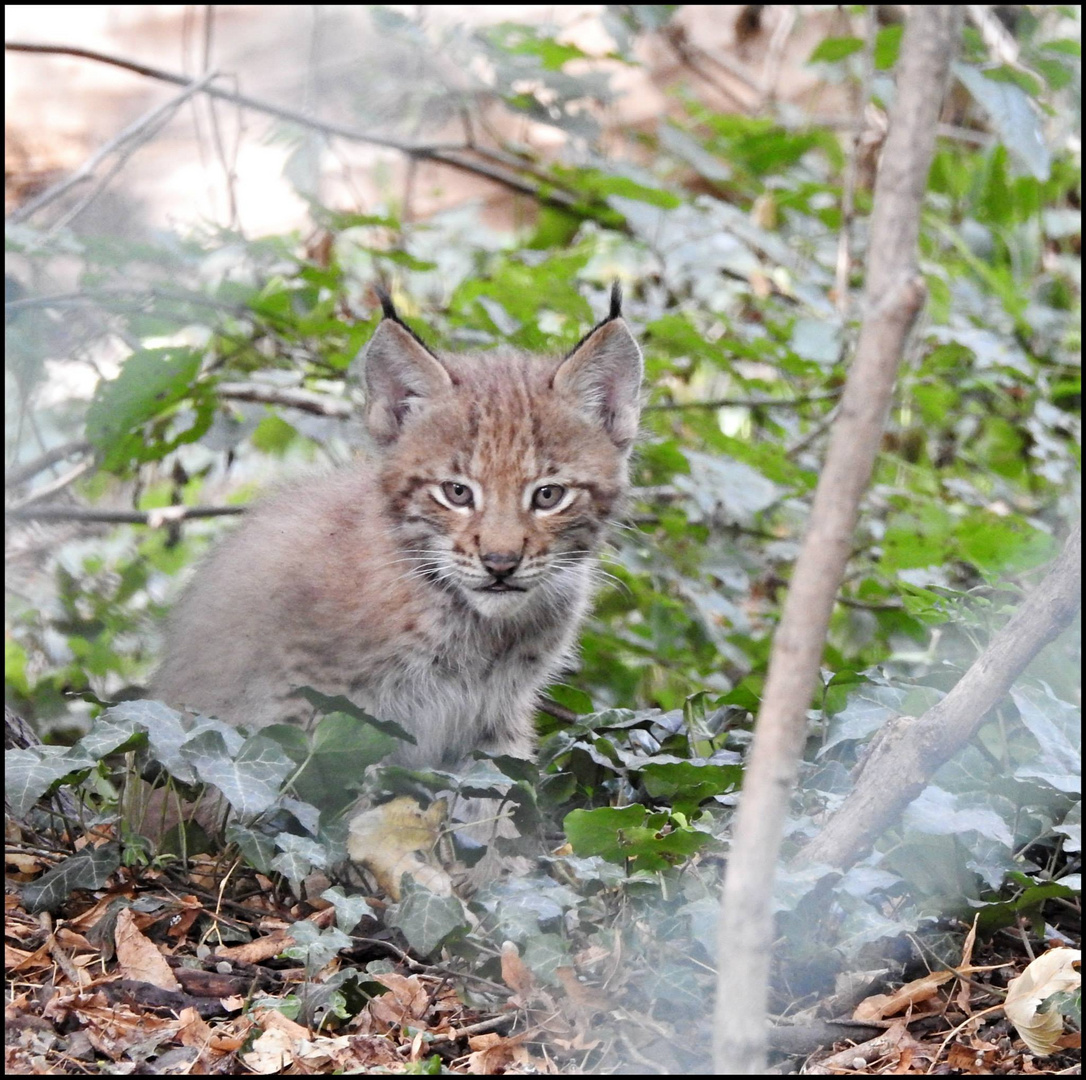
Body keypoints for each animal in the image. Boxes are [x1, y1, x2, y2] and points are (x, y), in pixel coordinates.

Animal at [155, 286, 642, 834]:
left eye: (548, 495)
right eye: (456, 492)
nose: (500, 563)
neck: (475, 625)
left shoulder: (496, 715)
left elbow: (492, 808)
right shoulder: (315, 700)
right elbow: (322, 803)